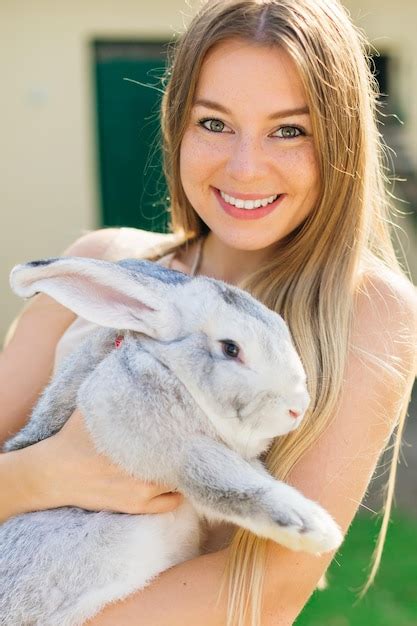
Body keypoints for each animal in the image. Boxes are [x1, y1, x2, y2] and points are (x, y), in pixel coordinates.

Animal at [0, 255, 342, 624]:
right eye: (230, 348)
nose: (298, 407)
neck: (169, 369)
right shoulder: (172, 444)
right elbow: (228, 482)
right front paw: (315, 530)